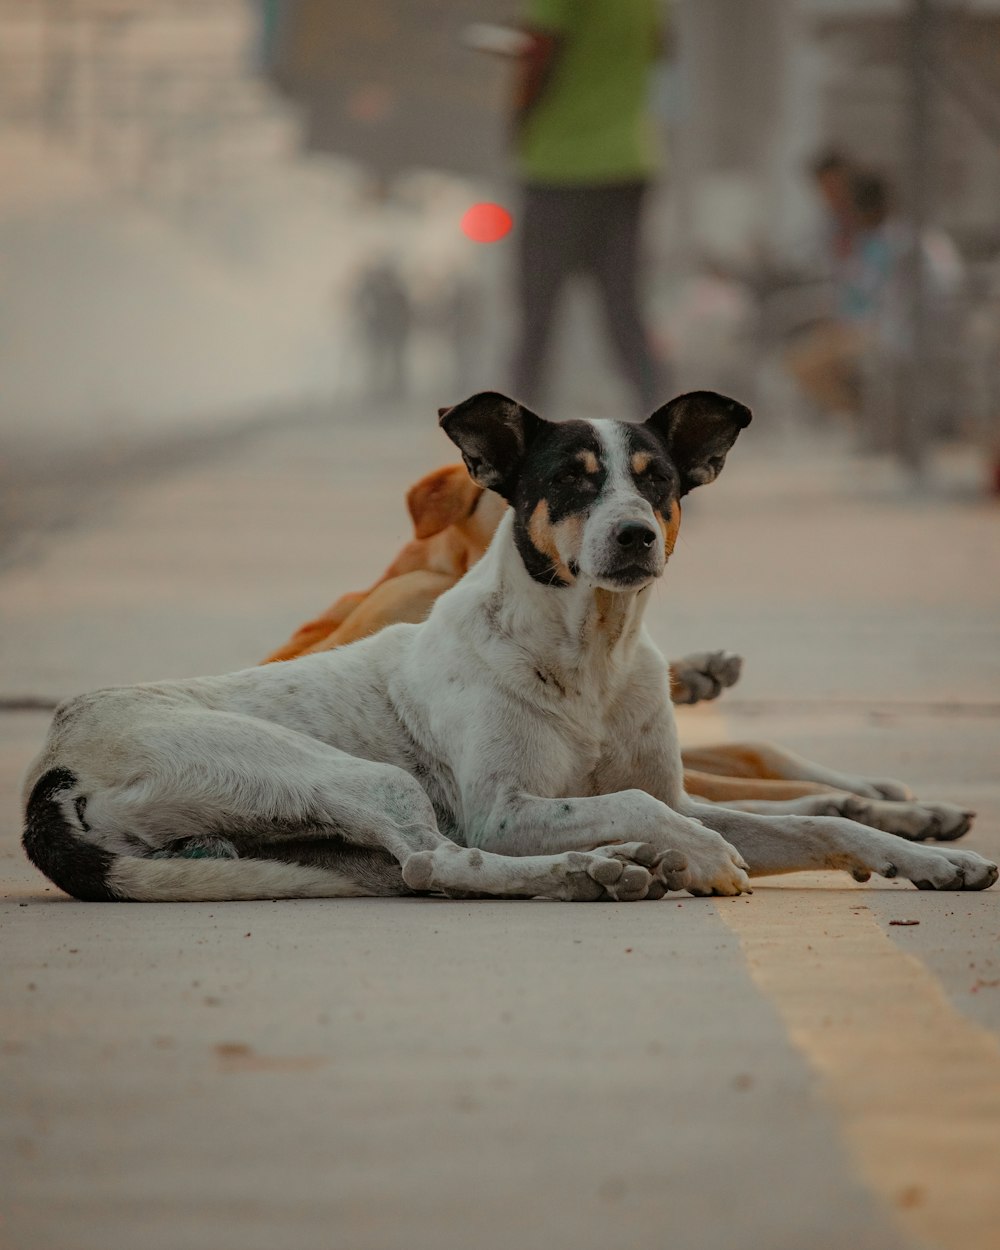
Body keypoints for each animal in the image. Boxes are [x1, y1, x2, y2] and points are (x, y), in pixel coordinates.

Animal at [23, 390, 1000, 900]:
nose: (634, 536)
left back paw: (598, 870)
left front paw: (929, 857)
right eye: (570, 479)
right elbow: (650, 813)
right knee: (436, 857)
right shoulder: (504, 807)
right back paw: (589, 869)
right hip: (365, 778)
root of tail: (52, 761)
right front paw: (696, 858)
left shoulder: (677, 791)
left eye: (657, 481)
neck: (593, 656)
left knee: (425, 872)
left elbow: (820, 820)